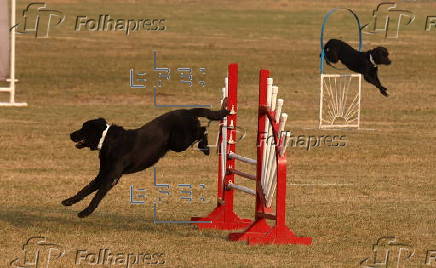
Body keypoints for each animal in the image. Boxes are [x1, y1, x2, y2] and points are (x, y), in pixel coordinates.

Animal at [61, 105, 228, 217]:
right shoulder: (103, 174)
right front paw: (69, 201)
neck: (107, 139)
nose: (70, 134)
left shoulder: (112, 176)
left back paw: (205, 147)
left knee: (202, 130)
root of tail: (188, 111)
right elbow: (86, 189)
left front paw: (85, 212)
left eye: (84, 128)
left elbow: (98, 194)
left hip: (179, 142)